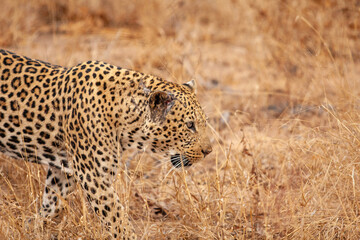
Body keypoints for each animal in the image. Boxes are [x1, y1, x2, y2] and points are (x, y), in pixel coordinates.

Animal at [0, 48, 211, 238]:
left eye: (203, 122)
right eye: (190, 125)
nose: (208, 151)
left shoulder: (64, 171)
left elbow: (52, 203)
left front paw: (32, 226)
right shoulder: (94, 176)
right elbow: (117, 219)